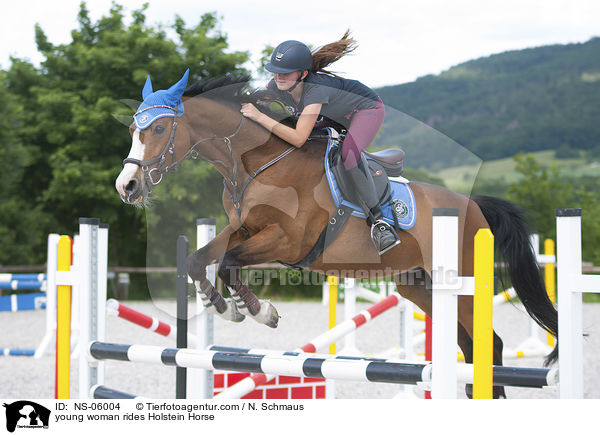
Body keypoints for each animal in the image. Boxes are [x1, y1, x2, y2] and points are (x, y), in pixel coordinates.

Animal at [113, 70, 556, 398]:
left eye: (159, 130)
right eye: (133, 129)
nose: (127, 186)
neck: (255, 162)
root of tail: (474, 204)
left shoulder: (288, 241)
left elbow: (229, 262)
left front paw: (260, 311)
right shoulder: (244, 228)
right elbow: (200, 258)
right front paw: (222, 306)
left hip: (460, 280)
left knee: (490, 343)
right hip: (416, 283)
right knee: (470, 344)